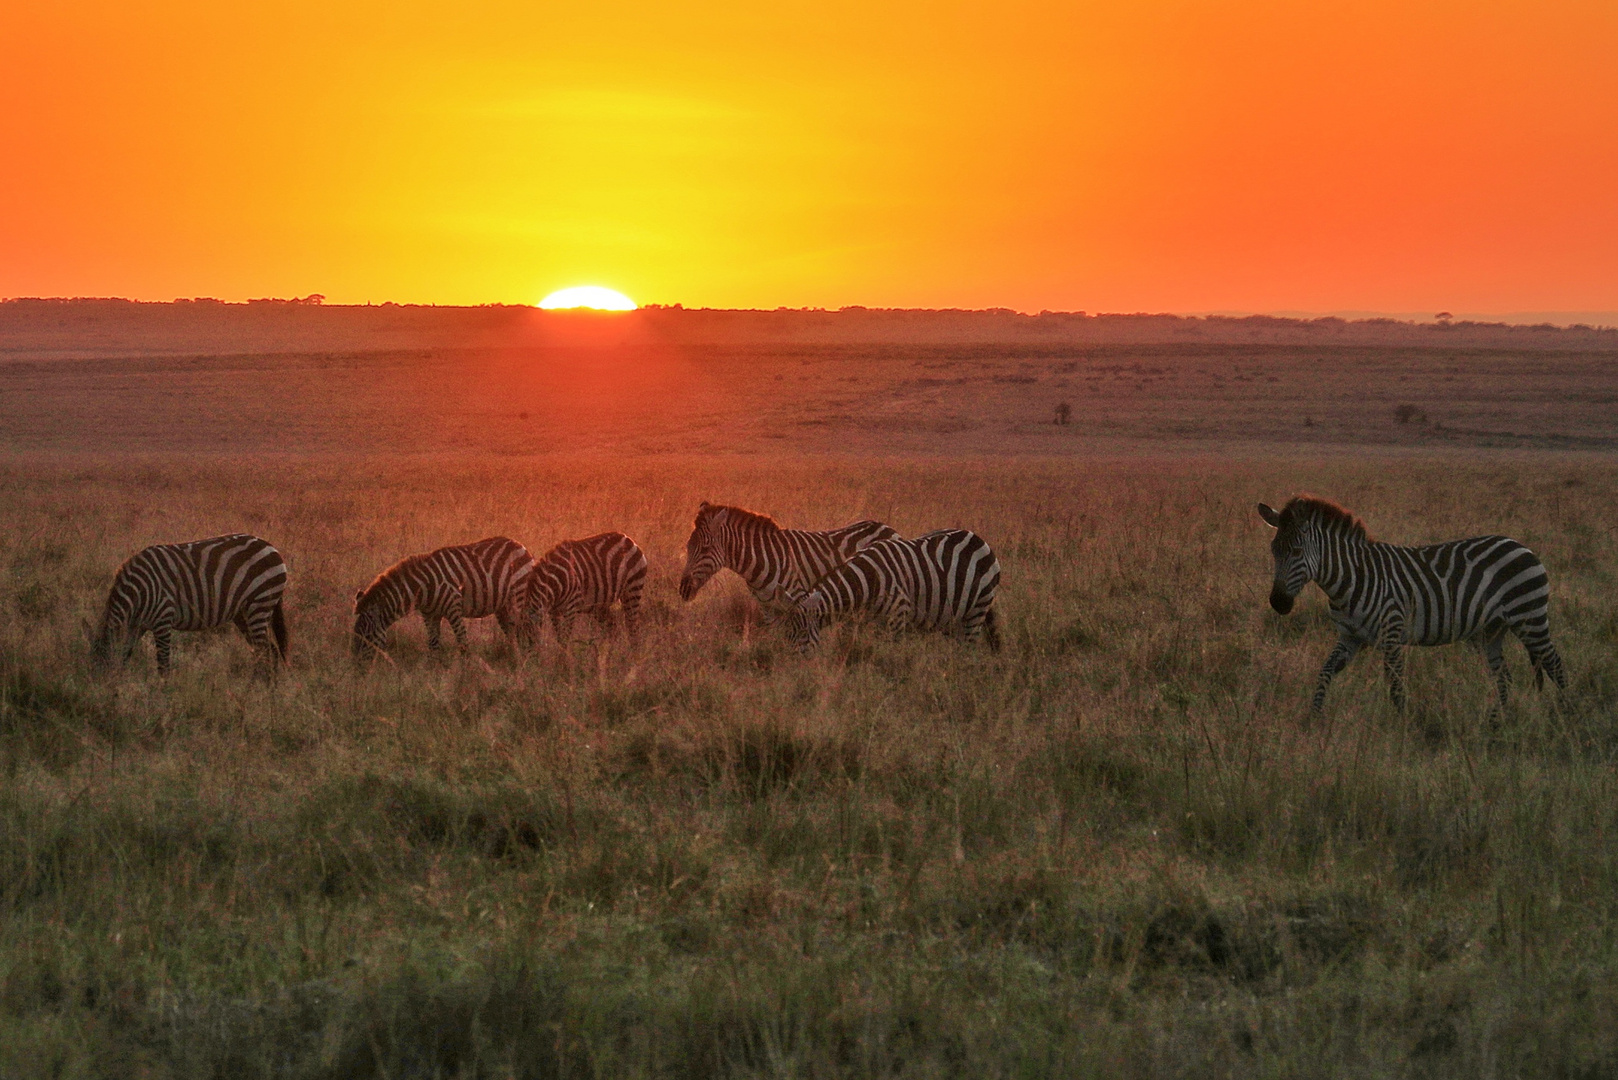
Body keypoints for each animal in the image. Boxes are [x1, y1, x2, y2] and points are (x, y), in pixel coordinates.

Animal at [92, 534, 288, 676]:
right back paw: (265, 689)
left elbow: (164, 665)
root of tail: (271, 547)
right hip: (243, 613)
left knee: (265, 651)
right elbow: (125, 655)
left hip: (260, 602)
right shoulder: (136, 626)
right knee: (269, 651)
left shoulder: (163, 619)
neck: (139, 592)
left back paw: (257, 689)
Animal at [352, 537, 530, 660]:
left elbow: (463, 642)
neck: (421, 588)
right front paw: (434, 672)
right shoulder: (429, 614)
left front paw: (466, 673)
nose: (358, 669)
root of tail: (519, 544)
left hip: (518, 595)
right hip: (502, 606)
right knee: (510, 632)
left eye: (366, 637)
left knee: (519, 629)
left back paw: (520, 659)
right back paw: (513, 657)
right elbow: (433, 644)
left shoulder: (453, 607)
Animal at [676, 501, 906, 615]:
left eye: (705, 548)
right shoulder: (767, 607)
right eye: (688, 547)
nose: (683, 590)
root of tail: (886, 526)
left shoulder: (797, 598)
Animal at [783, 531, 996, 650]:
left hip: (977, 612)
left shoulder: (897, 616)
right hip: (953, 620)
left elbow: (890, 657)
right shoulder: (857, 621)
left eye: (803, 633)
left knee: (968, 650)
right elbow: (850, 649)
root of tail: (975, 536)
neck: (866, 582)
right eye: (786, 635)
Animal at [1255, 495, 1559, 712]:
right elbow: (1325, 672)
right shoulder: (1350, 637)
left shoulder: (1391, 634)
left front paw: (1401, 729)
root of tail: (1520, 544)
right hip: (1490, 631)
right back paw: (1498, 722)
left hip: (1529, 617)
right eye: (1273, 550)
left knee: (1554, 664)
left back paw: (1564, 716)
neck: (1350, 579)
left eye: (1296, 551)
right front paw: (1314, 718)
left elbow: (1396, 688)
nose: (1278, 603)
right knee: (1504, 678)